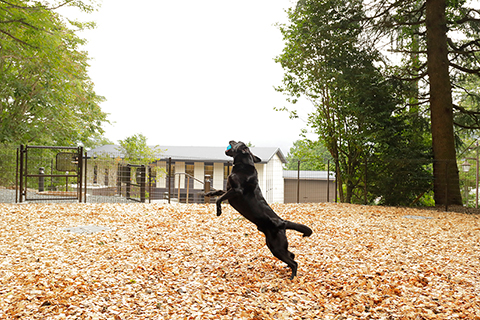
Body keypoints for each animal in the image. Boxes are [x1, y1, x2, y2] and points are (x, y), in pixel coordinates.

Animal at [204, 140, 314, 278]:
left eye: (237, 142)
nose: (231, 140)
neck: (243, 164)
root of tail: (282, 222)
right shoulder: (229, 190)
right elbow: (219, 192)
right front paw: (209, 193)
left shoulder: (236, 191)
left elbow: (220, 198)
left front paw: (218, 210)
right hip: (274, 246)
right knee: (292, 255)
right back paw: (287, 268)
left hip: (276, 247)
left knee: (294, 262)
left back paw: (292, 276)